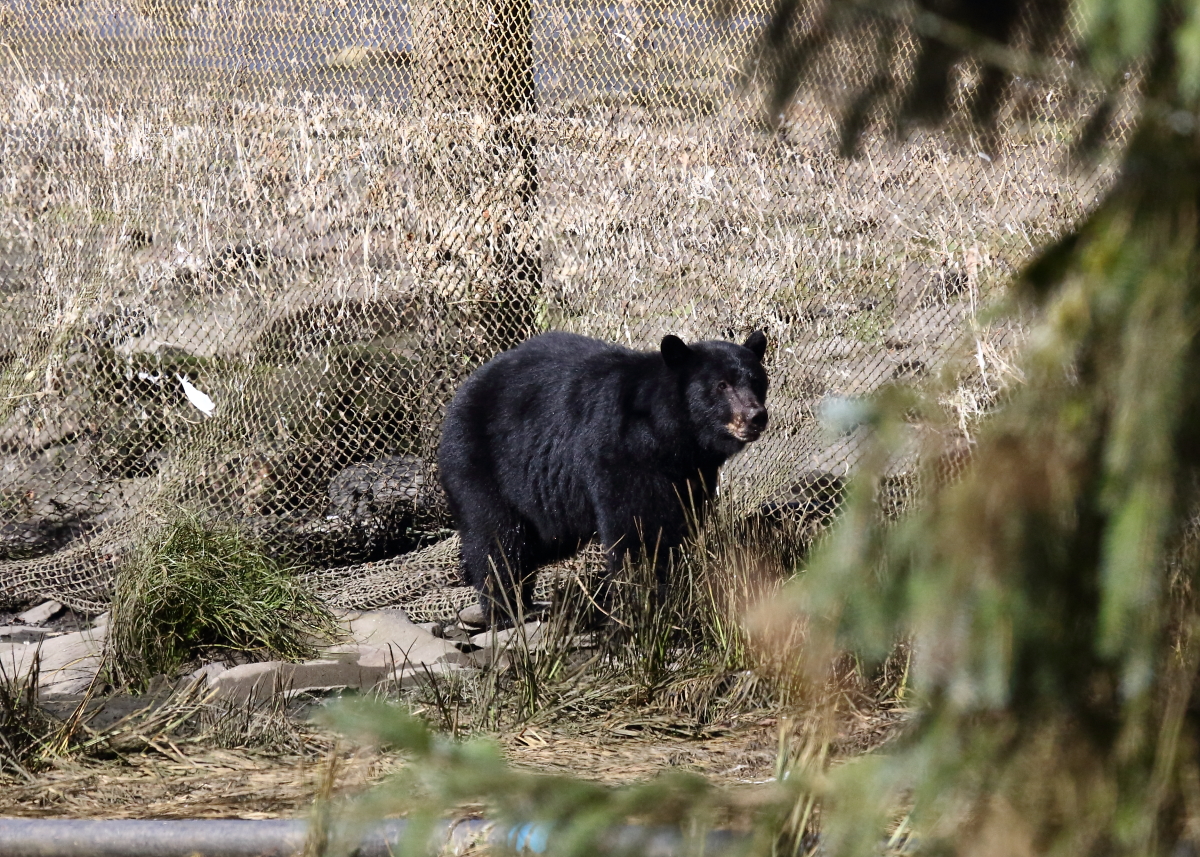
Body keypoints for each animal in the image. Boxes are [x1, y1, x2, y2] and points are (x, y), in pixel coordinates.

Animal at [439, 328, 768, 619]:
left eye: (756, 380)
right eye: (722, 385)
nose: (756, 416)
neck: (668, 437)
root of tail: (461, 393)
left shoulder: (692, 473)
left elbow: (679, 524)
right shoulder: (620, 452)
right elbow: (638, 528)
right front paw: (644, 598)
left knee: (536, 541)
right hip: (482, 465)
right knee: (498, 539)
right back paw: (505, 608)